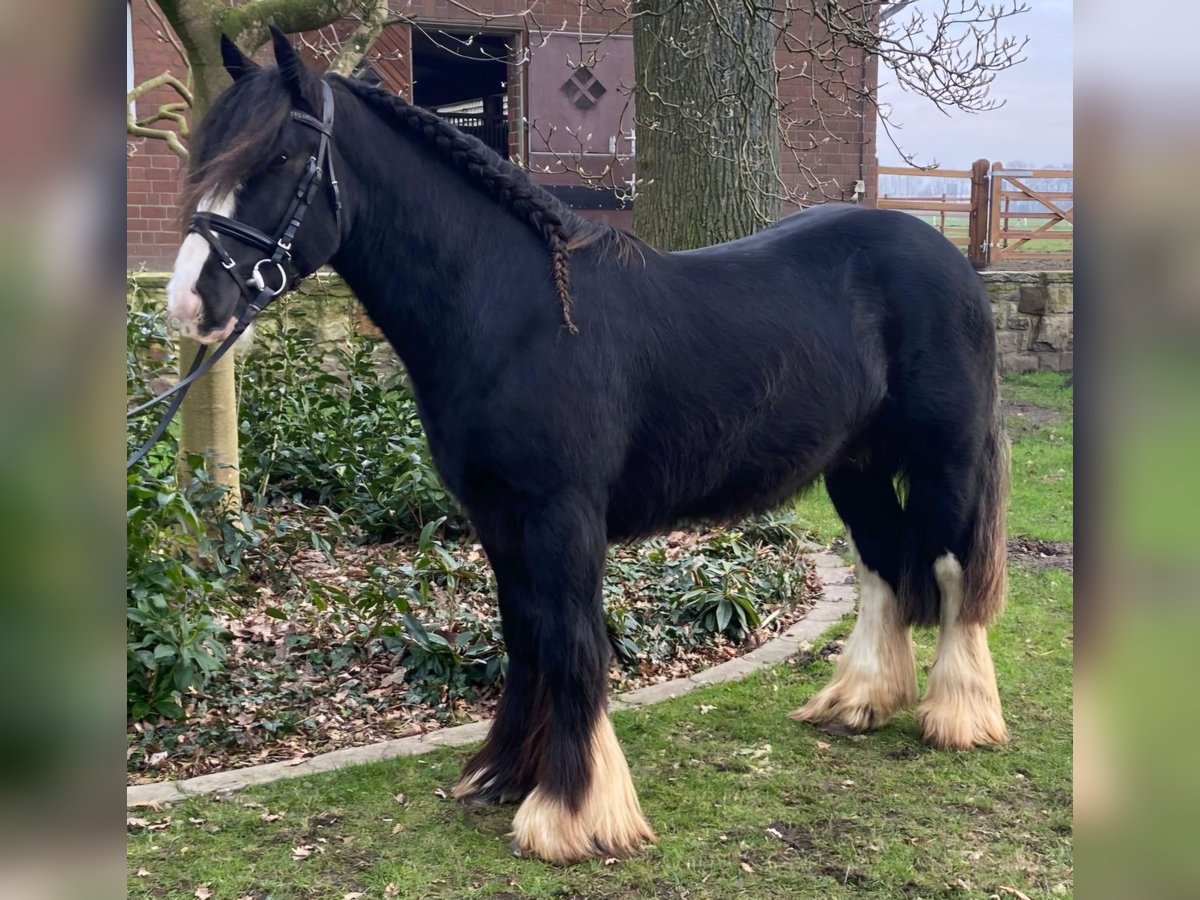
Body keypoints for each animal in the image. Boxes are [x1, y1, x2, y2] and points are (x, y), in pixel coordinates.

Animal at [166, 31, 1012, 868]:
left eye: (278, 156)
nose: (190, 302)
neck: (519, 312)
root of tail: (947, 259)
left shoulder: (563, 515)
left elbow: (574, 646)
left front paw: (569, 813)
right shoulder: (498, 517)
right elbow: (526, 638)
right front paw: (503, 773)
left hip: (941, 460)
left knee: (949, 570)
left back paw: (958, 716)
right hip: (855, 468)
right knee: (884, 566)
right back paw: (859, 702)